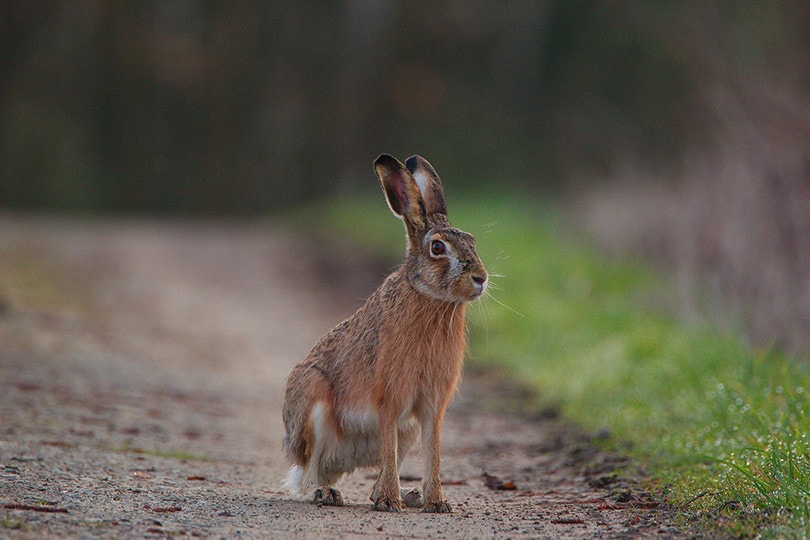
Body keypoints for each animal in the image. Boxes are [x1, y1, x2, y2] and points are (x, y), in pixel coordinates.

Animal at [282, 154, 487, 513]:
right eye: (437, 248)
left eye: (472, 241)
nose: (481, 278)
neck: (428, 297)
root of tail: (347, 459)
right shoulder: (389, 397)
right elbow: (390, 448)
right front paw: (391, 502)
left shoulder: (431, 405)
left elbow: (433, 452)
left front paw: (437, 503)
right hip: (311, 404)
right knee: (307, 473)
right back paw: (327, 493)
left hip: (407, 429)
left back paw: (407, 496)